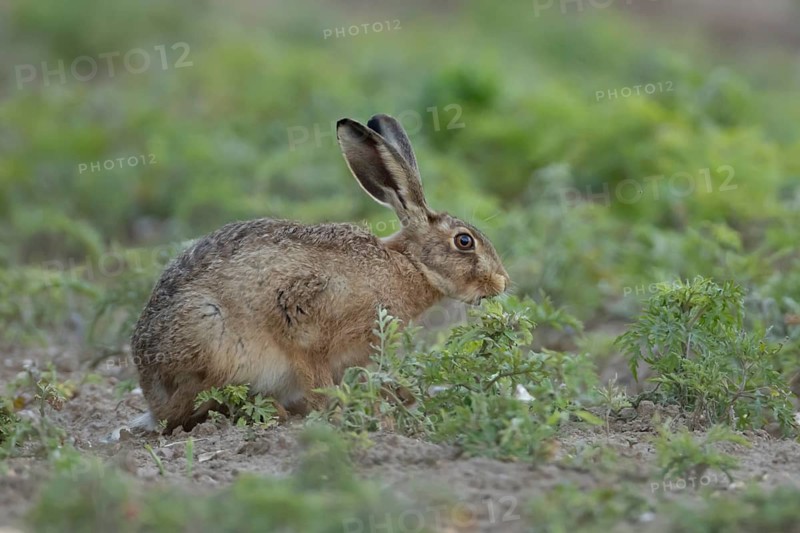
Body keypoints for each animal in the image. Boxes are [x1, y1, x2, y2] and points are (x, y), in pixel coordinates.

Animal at [130, 114, 510, 433]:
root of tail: (151, 394)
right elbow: (318, 382)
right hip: (212, 338)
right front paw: (341, 416)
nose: (502, 282)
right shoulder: (305, 328)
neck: (408, 265)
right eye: (464, 241)